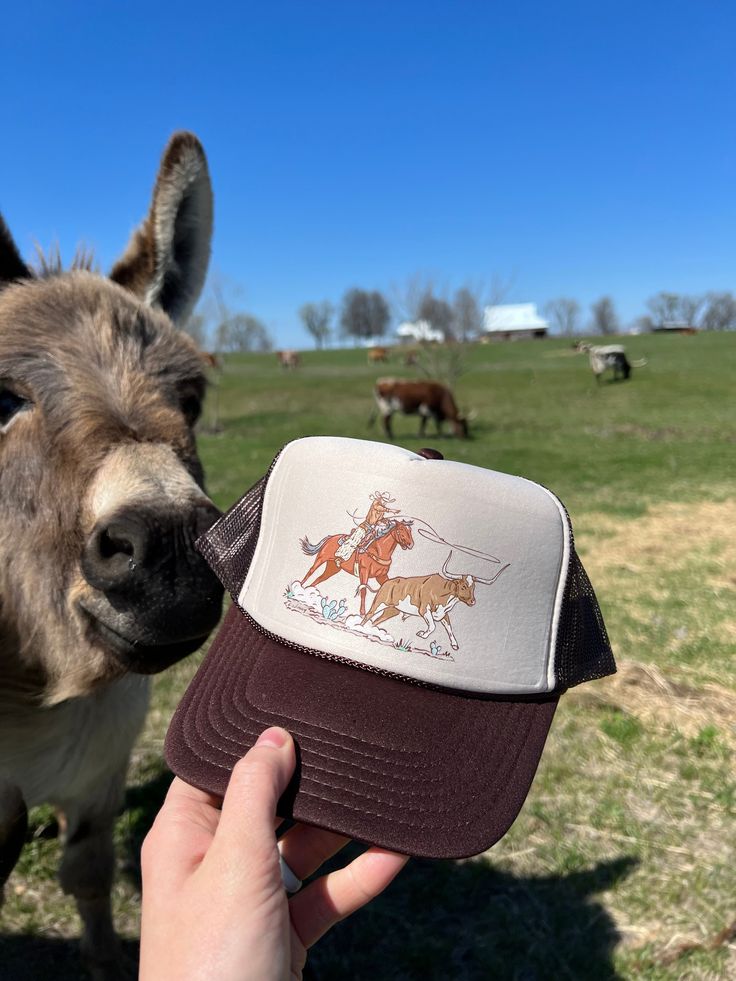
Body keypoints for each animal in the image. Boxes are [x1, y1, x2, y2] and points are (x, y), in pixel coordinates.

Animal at [360, 552, 506, 652]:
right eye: (464, 586)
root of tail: (388, 582)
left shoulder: (443, 614)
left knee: (375, 621)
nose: (473, 601)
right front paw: (423, 634)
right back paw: (359, 627)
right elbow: (432, 626)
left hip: (392, 610)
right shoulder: (424, 610)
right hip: (379, 603)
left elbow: (449, 629)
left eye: (474, 587)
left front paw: (454, 644)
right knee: (368, 615)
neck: (444, 594)